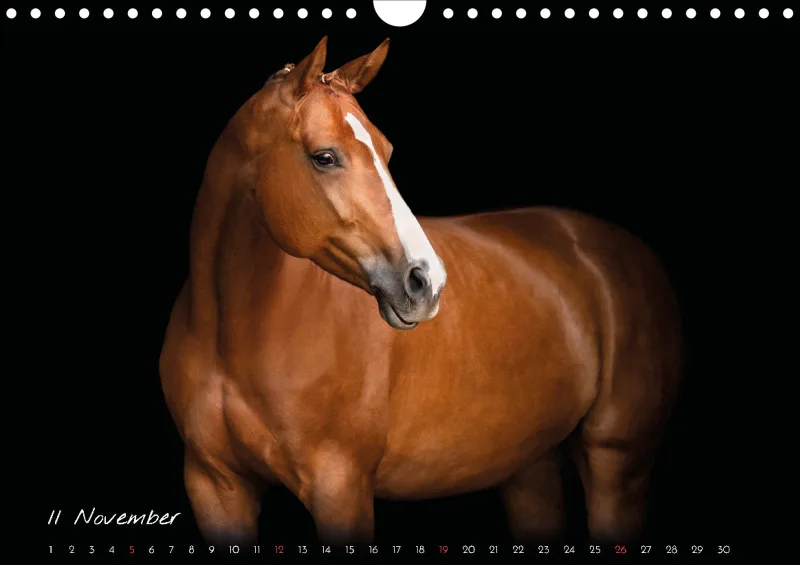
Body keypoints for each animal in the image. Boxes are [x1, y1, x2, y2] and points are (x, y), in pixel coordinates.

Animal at [159, 37, 684, 546]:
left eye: (387, 152)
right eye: (324, 156)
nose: (426, 281)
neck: (232, 335)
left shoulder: (341, 487)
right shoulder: (216, 486)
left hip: (617, 461)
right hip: (530, 467)